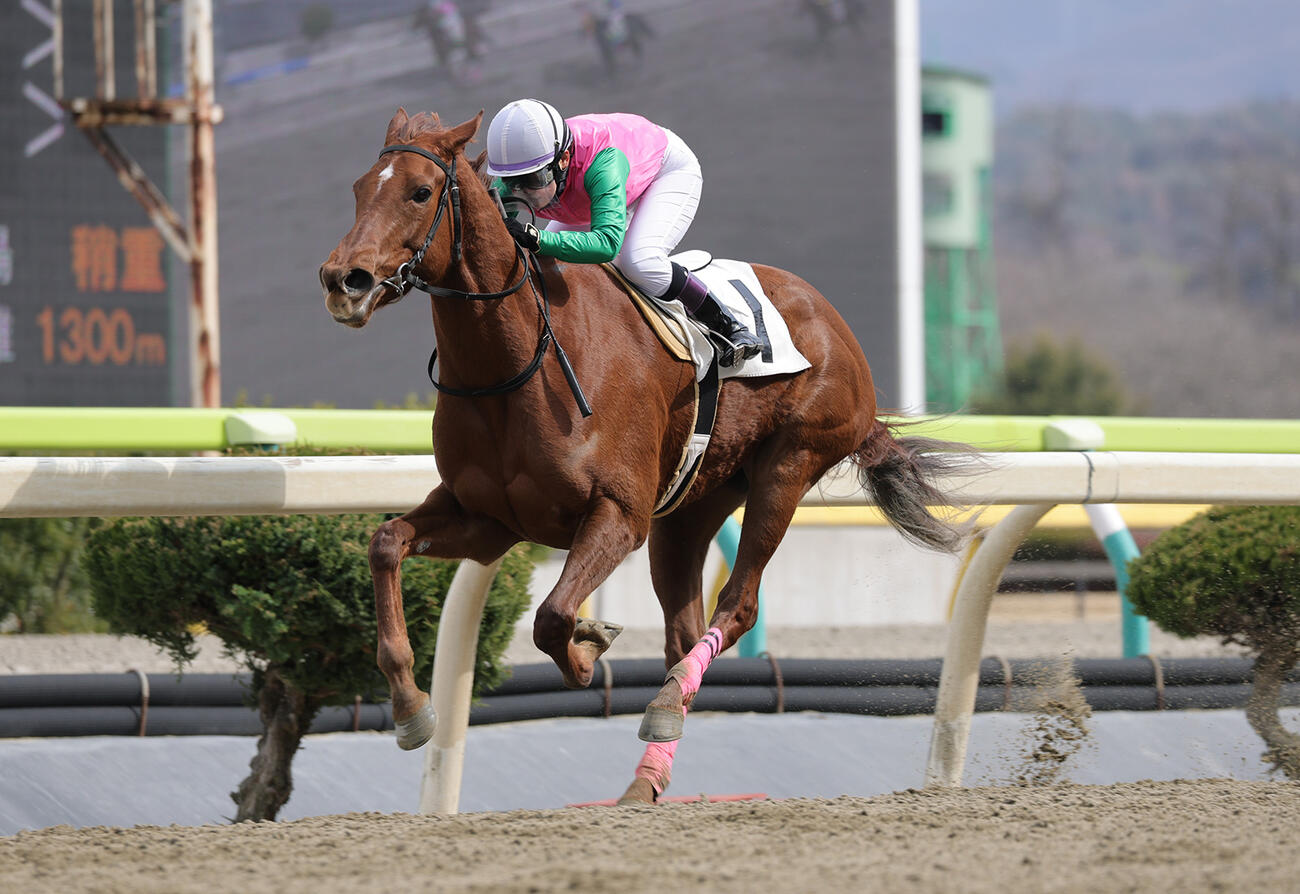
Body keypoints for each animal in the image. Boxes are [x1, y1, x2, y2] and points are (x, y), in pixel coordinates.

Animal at [319, 108, 970, 804]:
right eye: (358, 189)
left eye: (419, 192)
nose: (343, 280)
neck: (516, 365)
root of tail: (834, 324)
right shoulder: (487, 519)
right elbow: (386, 542)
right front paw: (411, 707)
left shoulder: (618, 514)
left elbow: (552, 617)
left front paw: (587, 646)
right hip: (689, 510)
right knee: (682, 635)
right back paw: (648, 771)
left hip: (788, 466)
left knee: (737, 606)